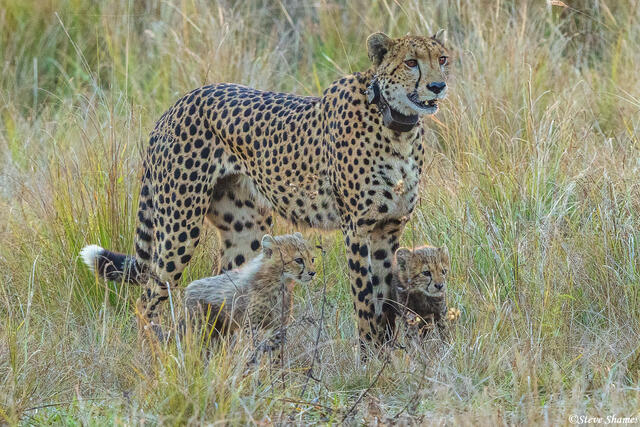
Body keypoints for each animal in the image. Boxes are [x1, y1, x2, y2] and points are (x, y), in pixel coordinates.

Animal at [183, 232, 315, 351]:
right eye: (298, 260)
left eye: (312, 259)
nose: (313, 273)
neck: (279, 283)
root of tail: (189, 287)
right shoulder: (252, 323)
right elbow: (255, 347)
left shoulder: (279, 325)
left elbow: (276, 352)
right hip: (203, 329)